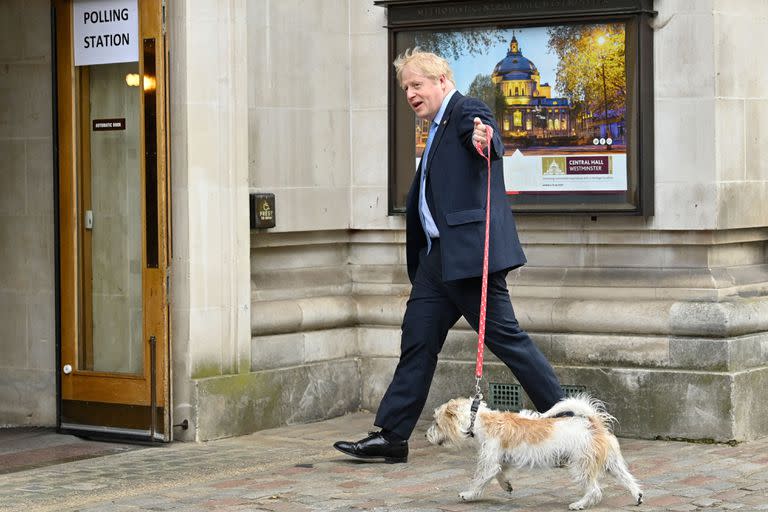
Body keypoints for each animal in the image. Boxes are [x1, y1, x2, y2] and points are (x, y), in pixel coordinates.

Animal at [426, 396, 640, 508]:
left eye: (436, 422)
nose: (427, 435)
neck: (479, 419)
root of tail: (593, 424)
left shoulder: (489, 462)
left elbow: (479, 480)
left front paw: (468, 494)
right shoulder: (503, 460)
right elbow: (501, 475)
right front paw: (507, 486)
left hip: (582, 466)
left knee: (595, 490)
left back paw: (579, 504)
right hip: (613, 464)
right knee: (628, 479)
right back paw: (638, 496)